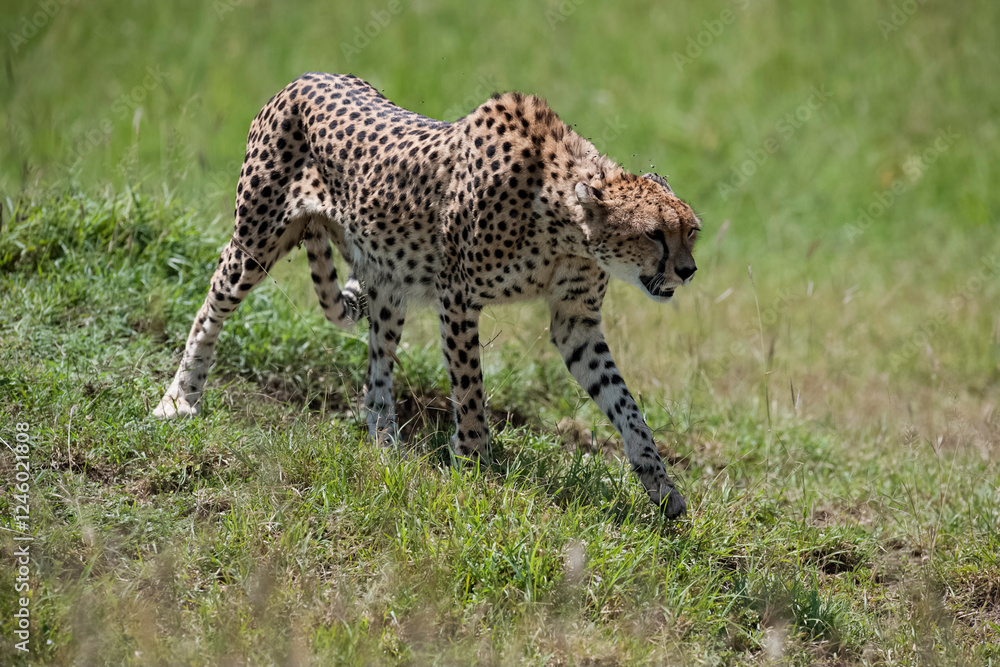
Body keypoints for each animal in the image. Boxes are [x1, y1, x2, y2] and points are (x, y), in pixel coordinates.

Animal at [153, 72, 701, 518]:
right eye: (654, 234)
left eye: (690, 231)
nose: (688, 270)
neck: (565, 226)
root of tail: (306, 76)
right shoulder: (457, 298)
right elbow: (471, 388)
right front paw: (475, 465)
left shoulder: (575, 323)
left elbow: (624, 402)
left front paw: (660, 483)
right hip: (256, 241)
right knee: (210, 307)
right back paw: (179, 399)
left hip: (389, 286)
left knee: (377, 370)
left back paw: (385, 446)